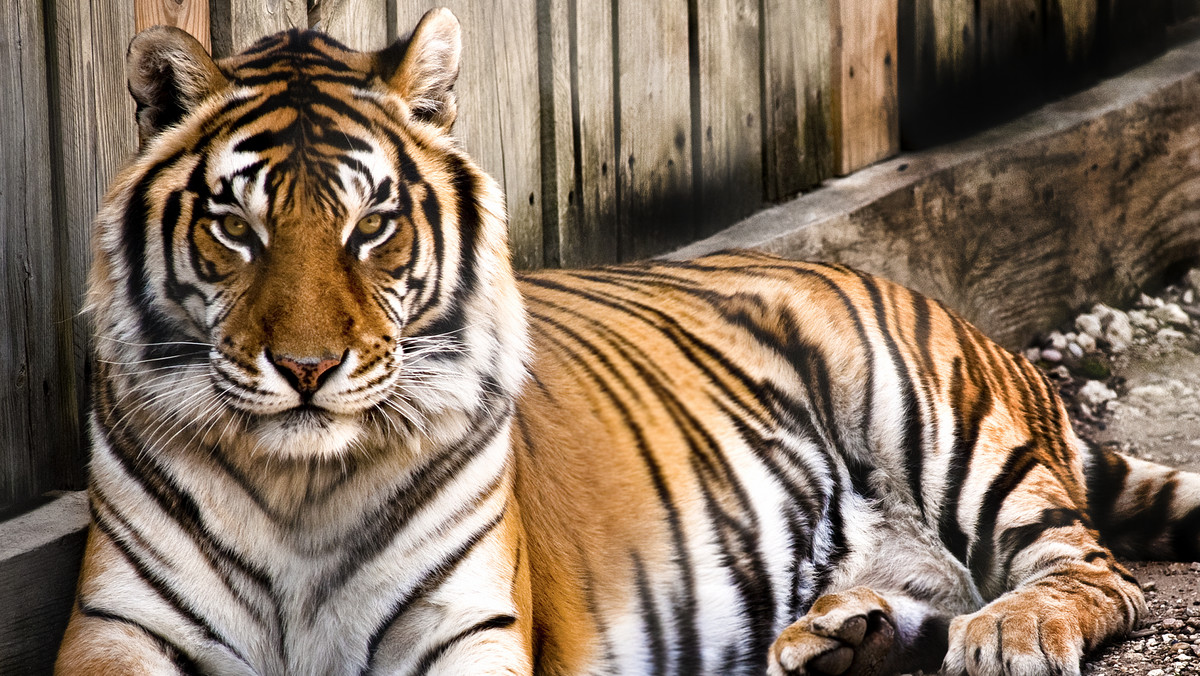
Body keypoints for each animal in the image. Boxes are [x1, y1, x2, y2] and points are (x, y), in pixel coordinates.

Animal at [58, 7, 1200, 676]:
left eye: (371, 224)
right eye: (236, 225)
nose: (305, 371)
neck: (299, 491)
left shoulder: (464, 625)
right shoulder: (118, 629)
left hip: (945, 429)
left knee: (1092, 572)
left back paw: (1008, 633)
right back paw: (843, 640)